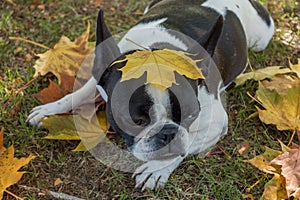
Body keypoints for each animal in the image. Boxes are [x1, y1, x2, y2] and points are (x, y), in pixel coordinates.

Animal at [28, 0, 274, 191]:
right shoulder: (103, 75)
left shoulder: (215, 125)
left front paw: (157, 169)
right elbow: (79, 93)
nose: (168, 133)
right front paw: (49, 110)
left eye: (191, 116)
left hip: (261, 39)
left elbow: (187, 144)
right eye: (136, 120)